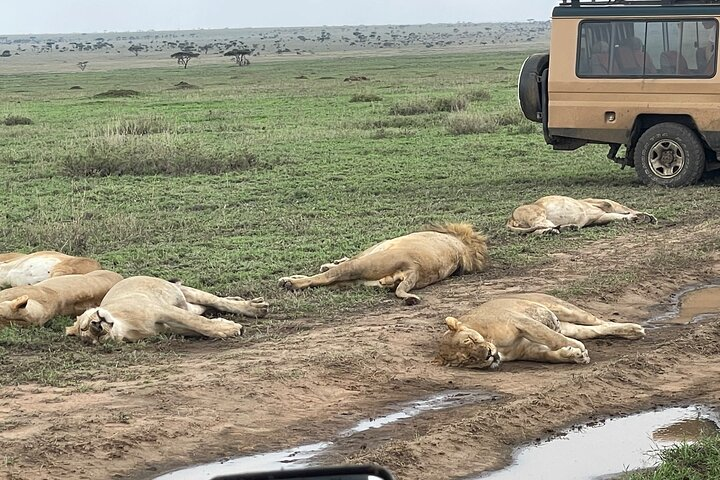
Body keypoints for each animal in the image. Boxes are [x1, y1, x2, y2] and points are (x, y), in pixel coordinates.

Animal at [67, 276, 270, 344]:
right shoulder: (170, 327)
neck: (125, 327)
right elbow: (199, 326)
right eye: (94, 337)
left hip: (182, 291)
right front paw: (225, 326)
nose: (97, 326)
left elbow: (199, 323)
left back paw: (256, 307)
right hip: (189, 303)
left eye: (84, 326)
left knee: (217, 301)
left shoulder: (161, 308)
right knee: (205, 307)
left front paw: (231, 329)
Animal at [278, 224, 486, 306]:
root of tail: (415, 269)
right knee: (326, 281)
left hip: (362, 265)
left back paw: (289, 282)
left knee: (324, 277)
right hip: (358, 280)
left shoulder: (374, 248)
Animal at [438, 290, 648, 370]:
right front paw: (574, 355)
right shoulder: (528, 349)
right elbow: (551, 354)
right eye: (469, 359)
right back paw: (631, 332)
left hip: (564, 309)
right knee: (596, 329)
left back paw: (634, 329)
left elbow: (553, 338)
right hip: (571, 326)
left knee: (600, 321)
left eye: (472, 340)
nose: (488, 355)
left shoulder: (520, 322)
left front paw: (578, 349)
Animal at [506, 194, 660, 233]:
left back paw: (567, 228)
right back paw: (553, 231)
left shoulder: (600, 216)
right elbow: (615, 207)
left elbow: (618, 216)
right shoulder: (599, 203)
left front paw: (637, 217)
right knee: (541, 225)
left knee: (535, 230)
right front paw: (641, 216)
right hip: (538, 212)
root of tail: (509, 219)